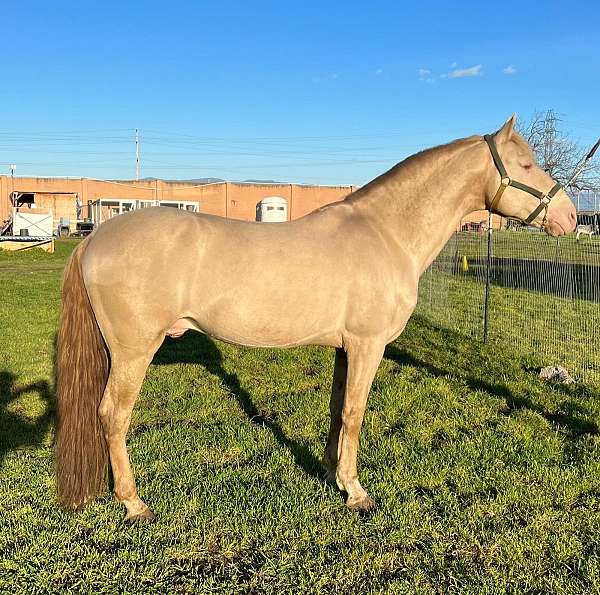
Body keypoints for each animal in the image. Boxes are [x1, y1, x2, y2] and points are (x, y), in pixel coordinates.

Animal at [56, 114, 576, 520]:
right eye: (526, 165)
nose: (570, 218)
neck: (386, 232)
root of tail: (94, 238)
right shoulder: (368, 345)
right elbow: (355, 413)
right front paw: (357, 493)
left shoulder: (347, 348)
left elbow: (336, 410)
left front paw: (332, 474)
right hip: (134, 351)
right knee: (113, 415)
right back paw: (134, 503)